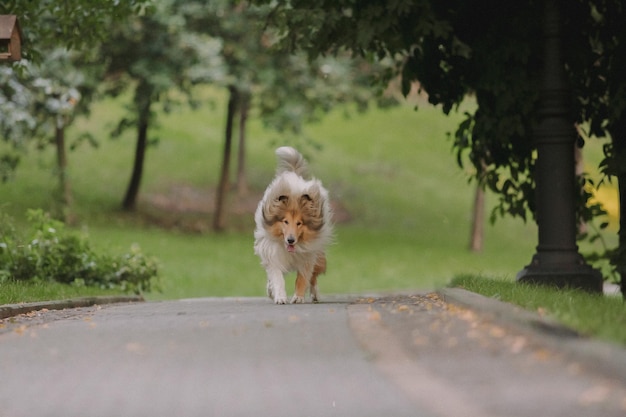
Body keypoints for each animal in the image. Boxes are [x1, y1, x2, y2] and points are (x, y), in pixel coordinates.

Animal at [252, 146, 334, 302]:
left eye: (299, 223)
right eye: (285, 221)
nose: (291, 240)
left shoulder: (308, 256)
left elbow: (303, 278)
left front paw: (298, 297)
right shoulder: (273, 253)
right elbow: (277, 277)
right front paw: (279, 297)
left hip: (318, 255)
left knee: (313, 277)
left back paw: (315, 295)